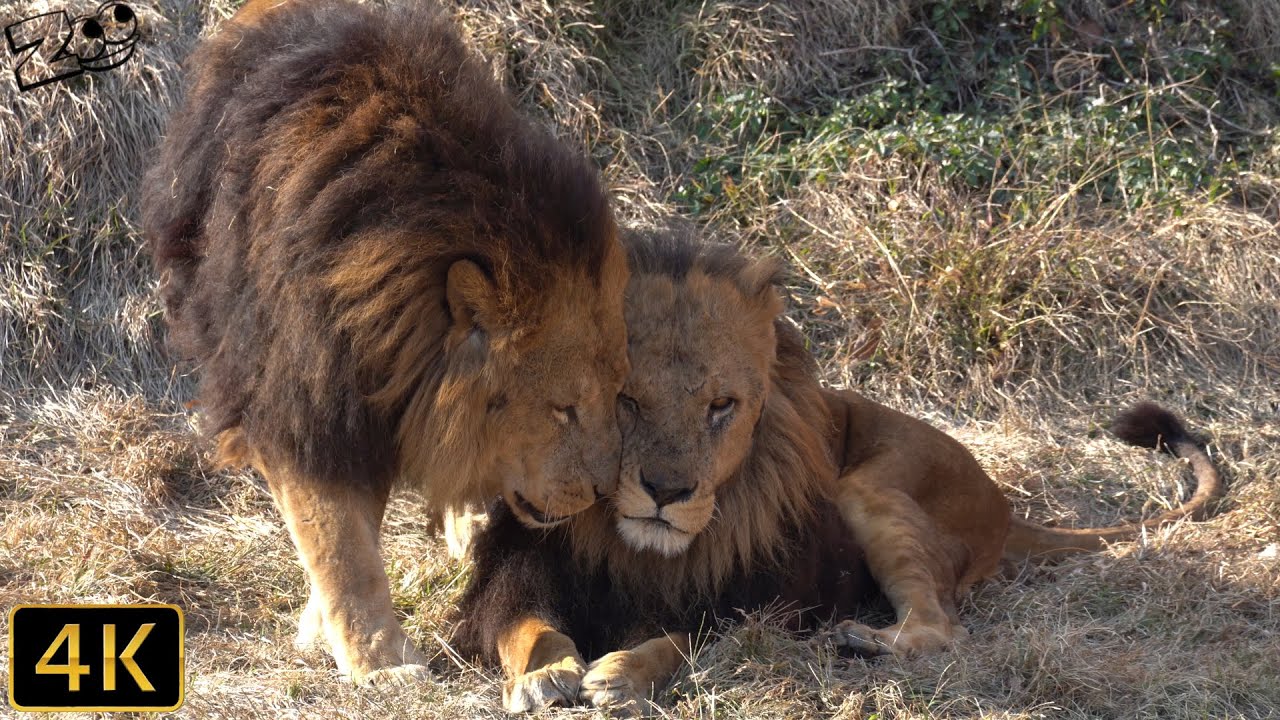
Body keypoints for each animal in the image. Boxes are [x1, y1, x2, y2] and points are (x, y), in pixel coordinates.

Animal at [141, 0, 629, 685]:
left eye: (618, 395)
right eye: (563, 409)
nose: (604, 495)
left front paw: (330, 633)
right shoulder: (306, 401)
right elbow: (342, 545)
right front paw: (379, 662)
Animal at [452, 227, 1223, 713]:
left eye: (722, 406)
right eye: (625, 399)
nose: (667, 493)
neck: (631, 547)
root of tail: (1005, 505)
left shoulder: (758, 602)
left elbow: (679, 639)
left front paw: (620, 674)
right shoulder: (514, 580)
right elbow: (531, 630)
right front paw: (549, 675)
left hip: (870, 488)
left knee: (942, 627)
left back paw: (862, 640)